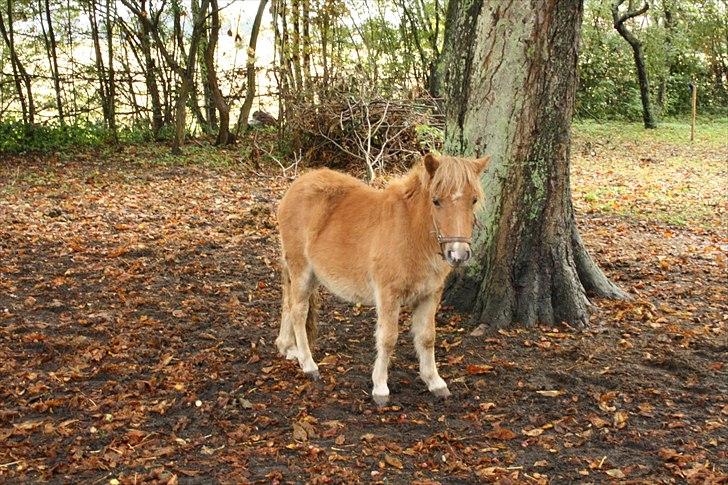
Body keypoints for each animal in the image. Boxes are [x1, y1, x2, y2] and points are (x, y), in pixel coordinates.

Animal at [276, 153, 492, 402]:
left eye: (473, 200)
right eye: (436, 201)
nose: (458, 254)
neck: (411, 232)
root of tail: (296, 187)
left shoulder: (430, 295)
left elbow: (427, 337)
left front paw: (434, 382)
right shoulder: (389, 295)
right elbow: (388, 338)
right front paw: (380, 387)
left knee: (288, 304)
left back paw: (287, 347)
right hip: (301, 270)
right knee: (298, 312)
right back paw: (308, 364)